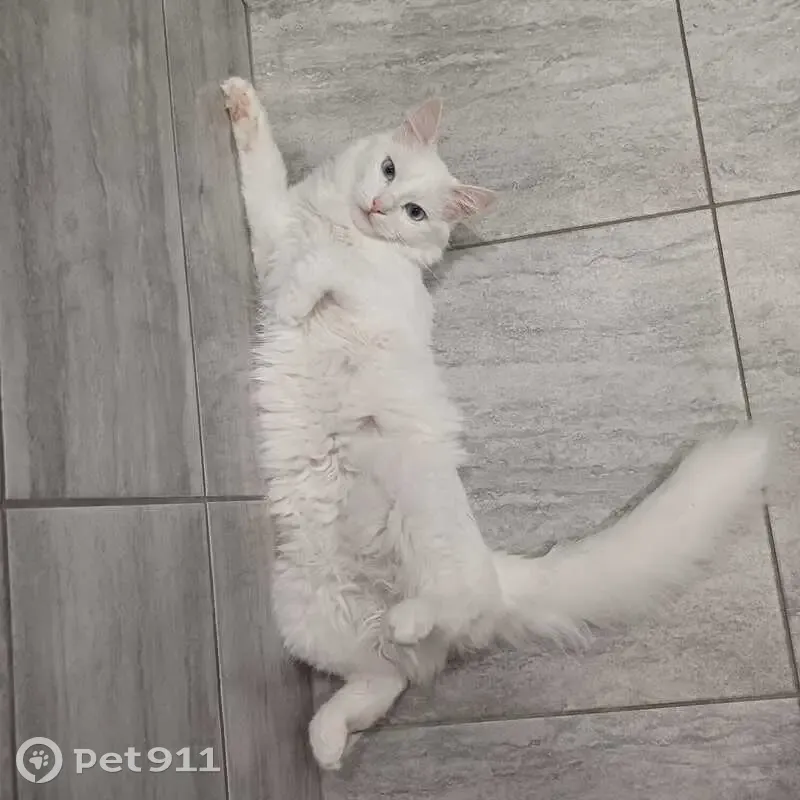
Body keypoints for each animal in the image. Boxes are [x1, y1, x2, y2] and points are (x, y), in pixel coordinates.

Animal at [220, 76, 770, 771]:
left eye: (415, 214)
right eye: (389, 170)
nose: (378, 205)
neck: (343, 229)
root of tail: (497, 569)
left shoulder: (366, 290)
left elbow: (323, 278)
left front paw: (302, 295)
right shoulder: (273, 224)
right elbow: (261, 167)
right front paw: (239, 100)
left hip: (420, 522)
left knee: (449, 608)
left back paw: (402, 630)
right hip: (304, 608)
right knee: (384, 681)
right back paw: (326, 743)